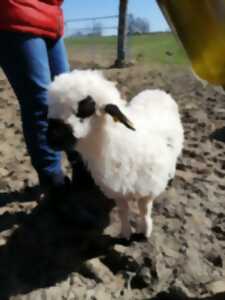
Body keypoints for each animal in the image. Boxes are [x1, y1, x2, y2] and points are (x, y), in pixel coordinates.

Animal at [47, 69, 183, 239]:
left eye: (86, 108)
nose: (50, 137)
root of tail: (156, 90)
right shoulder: (117, 190)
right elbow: (123, 211)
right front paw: (126, 233)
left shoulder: (149, 187)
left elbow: (144, 210)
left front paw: (145, 231)